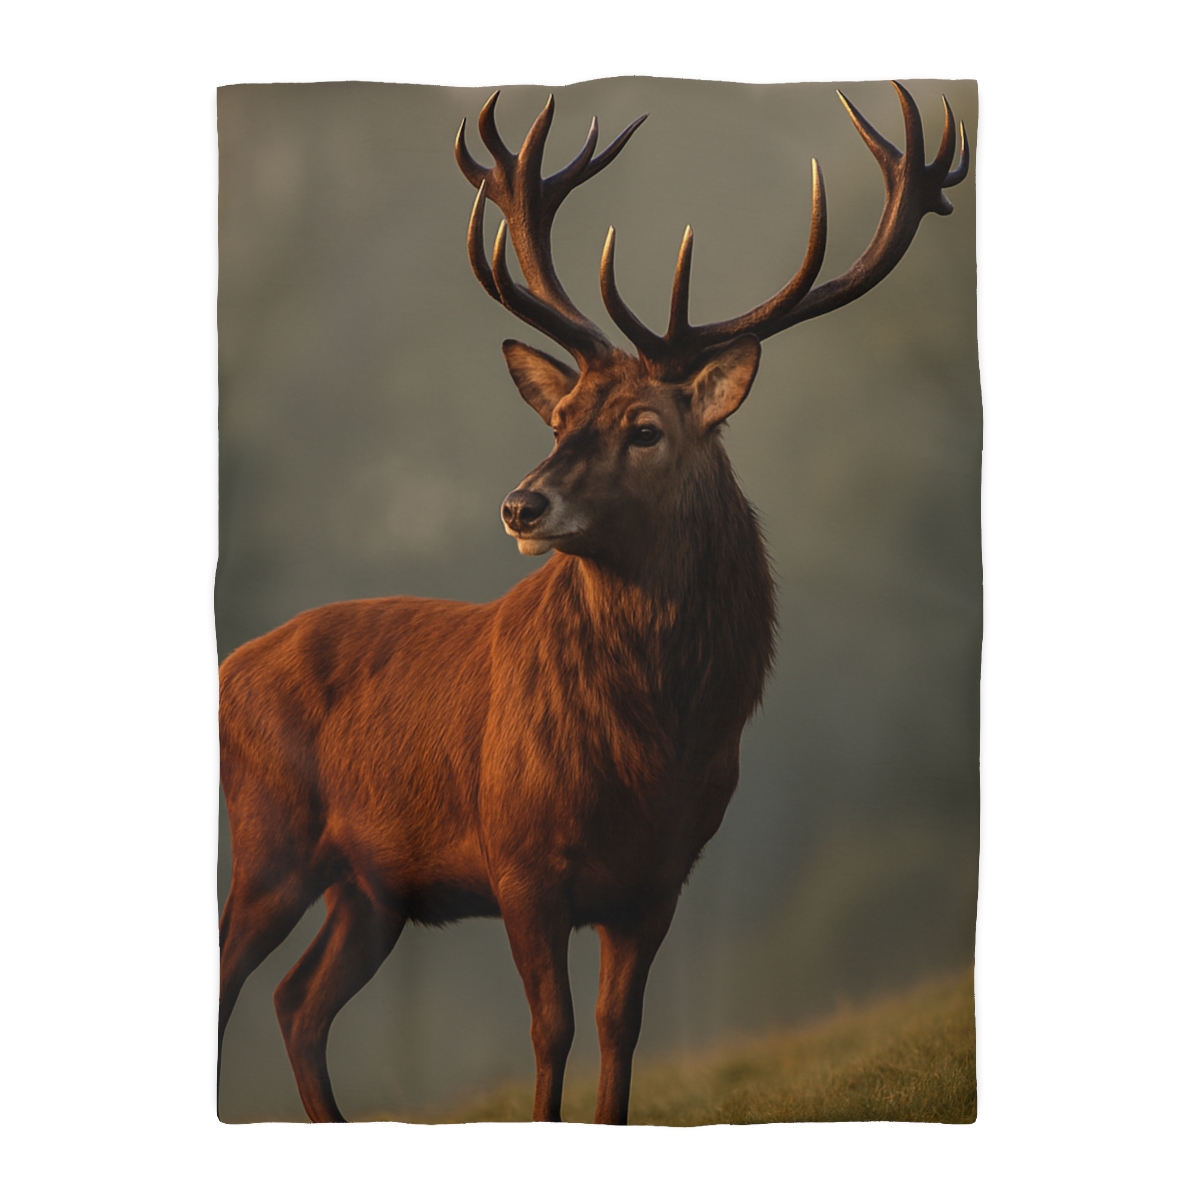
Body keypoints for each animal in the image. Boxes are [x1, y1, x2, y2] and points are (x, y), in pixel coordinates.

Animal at [217, 82, 970, 1124]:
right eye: (561, 419)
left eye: (645, 428)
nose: (519, 505)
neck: (654, 749)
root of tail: (228, 666)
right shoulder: (520, 859)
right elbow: (551, 1032)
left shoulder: (661, 878)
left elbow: (621, 1031)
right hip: (270, 836)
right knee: (237, 981)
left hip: (371, 886)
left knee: (298, 1002)